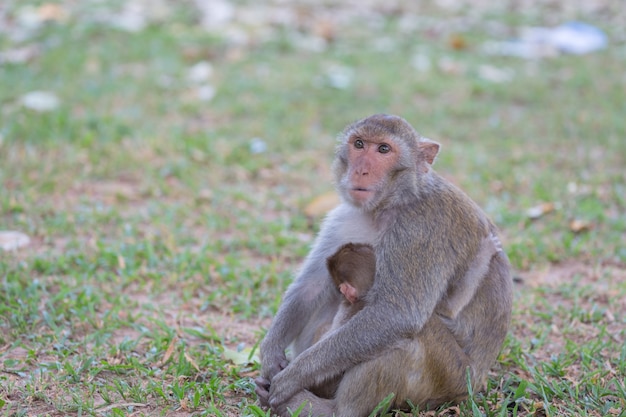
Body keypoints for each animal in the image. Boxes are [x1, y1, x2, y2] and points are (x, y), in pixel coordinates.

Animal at [254, 114, 512, 416]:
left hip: (452, 377)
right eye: (359, 144)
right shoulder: (344, 218)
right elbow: (310, 288)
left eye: (384, 150)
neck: (388, 205)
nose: (361, 171)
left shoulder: (420, 231)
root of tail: (478, 379)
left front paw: (292, 377)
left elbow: (396, 314)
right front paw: (271, 353)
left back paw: (322, 407)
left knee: (407, 338)